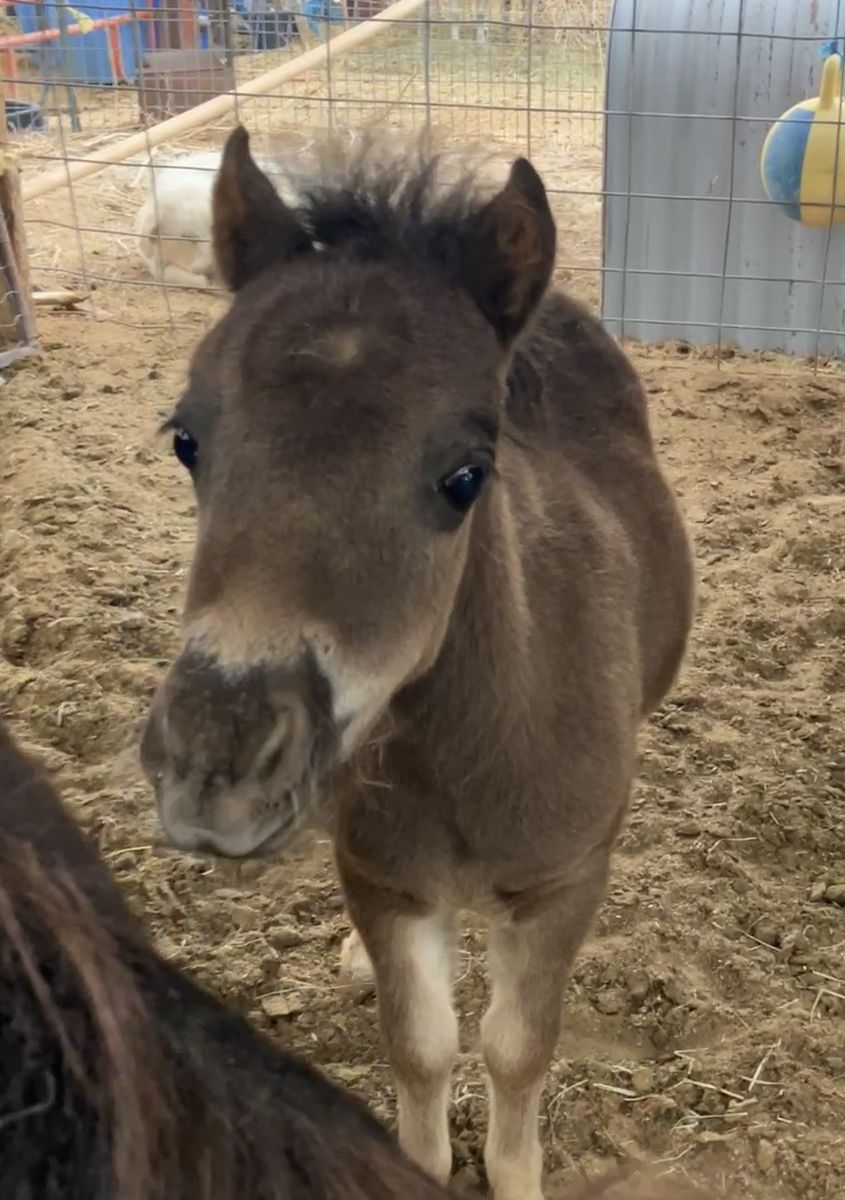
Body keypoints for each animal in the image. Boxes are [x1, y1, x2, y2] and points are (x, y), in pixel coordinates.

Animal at [141, 126, 695, 1200]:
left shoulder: (562, 883)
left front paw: (515, 1175)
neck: (469, 751)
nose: (214, 763)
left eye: (465, 475)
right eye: (186, 440)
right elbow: (422, 1046)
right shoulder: (385, 881)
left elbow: (516, 1047)